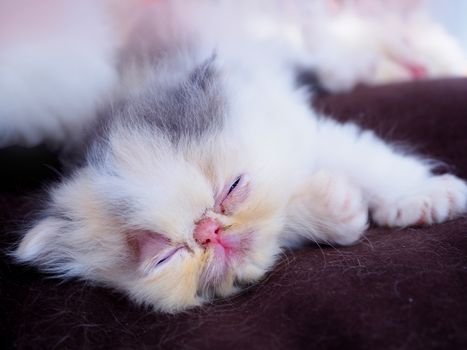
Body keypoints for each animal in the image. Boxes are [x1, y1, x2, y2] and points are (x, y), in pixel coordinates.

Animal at [9, 0, 467, 312]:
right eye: (165, 255)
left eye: (232, 188)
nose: (208, 232)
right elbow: (284, 222)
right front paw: (337, 209)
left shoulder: (299, 125)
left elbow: (365, 160)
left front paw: (422, 198)